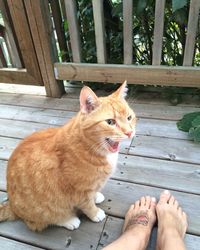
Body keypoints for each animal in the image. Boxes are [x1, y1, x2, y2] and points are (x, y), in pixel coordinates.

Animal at [0, 81, 136, 231]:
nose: (130, 133)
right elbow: (87, 205)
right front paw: (95, 213)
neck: (88, 145)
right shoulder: (79, 191)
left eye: (129, 118)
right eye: (110, 122)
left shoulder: (93, 185)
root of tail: (12, 207)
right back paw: (69, 220)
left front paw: (96, 196)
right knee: (44, 219)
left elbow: (93, 192)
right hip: (43, 211)